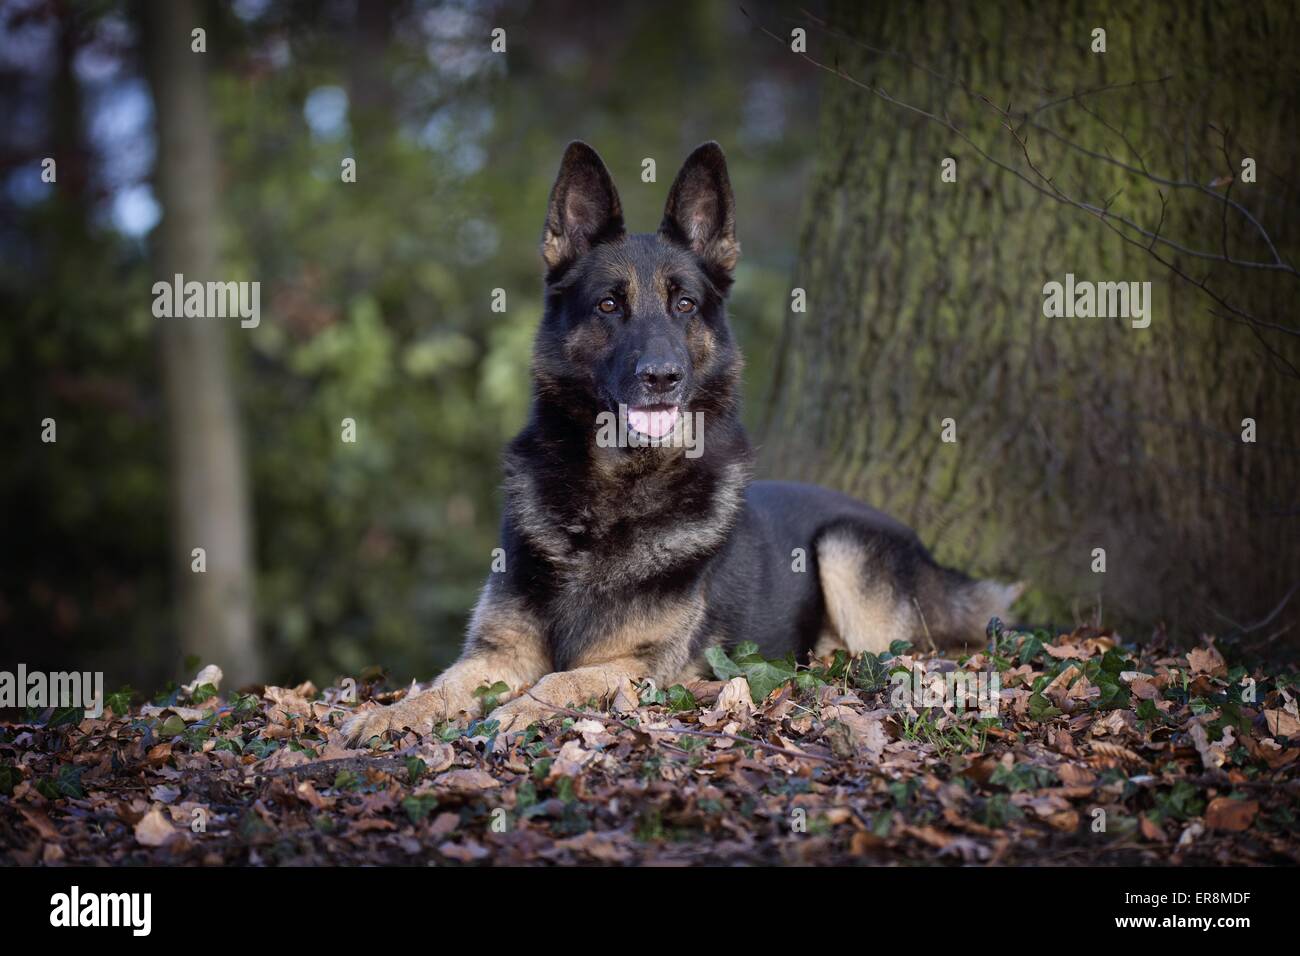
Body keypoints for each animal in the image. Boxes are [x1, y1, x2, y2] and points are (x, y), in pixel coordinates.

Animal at [340, 140, 1019, 749]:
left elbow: (559, 682)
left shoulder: (638, 667)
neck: (612, 494)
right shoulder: (495, 653)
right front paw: (388, 715)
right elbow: (440, 687)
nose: (662, 377)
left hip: (846, 550)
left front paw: (515, 713)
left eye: (686, 304)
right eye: (608, 305)